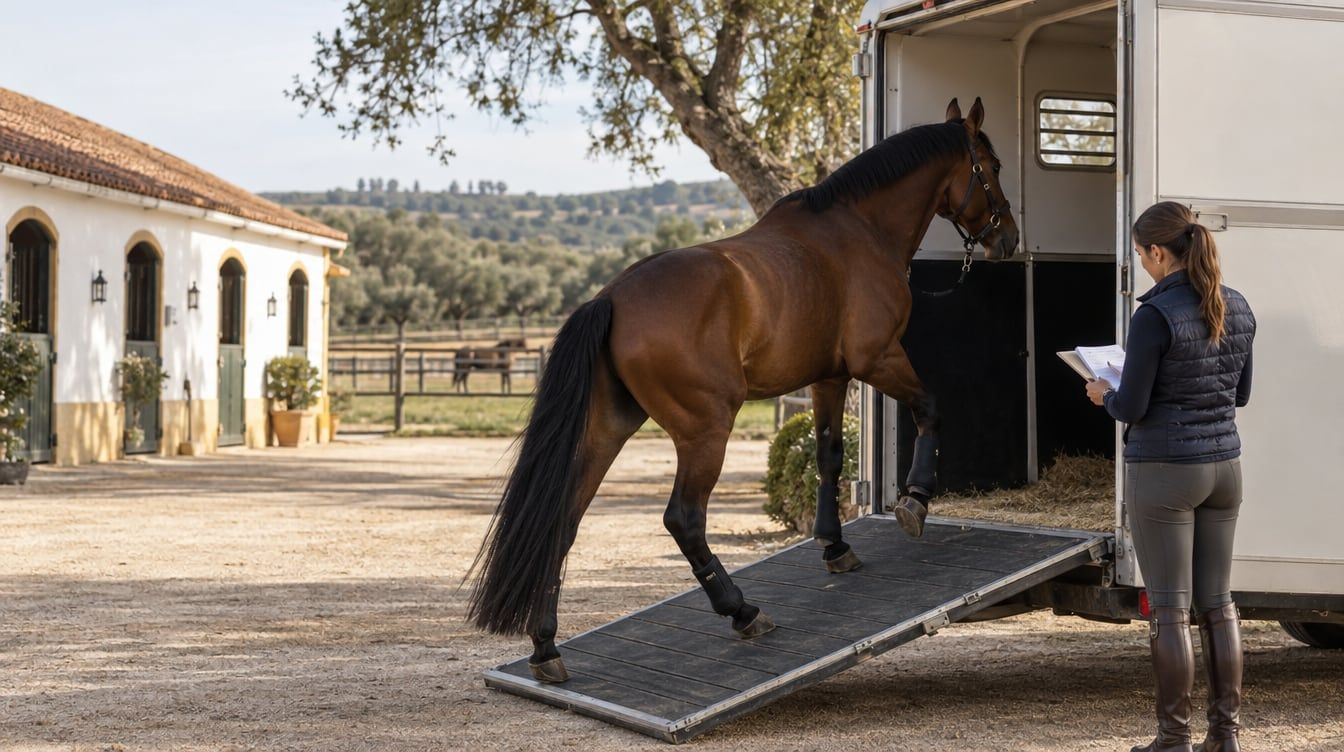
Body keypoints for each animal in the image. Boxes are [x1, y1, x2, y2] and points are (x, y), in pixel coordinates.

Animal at [468, 98, 1018, 683]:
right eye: (992, 166)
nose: (1008, 238)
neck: (858, 232)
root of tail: (611, 299)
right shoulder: (879, 358)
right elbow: (930, 408)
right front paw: (915, 501)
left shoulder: (829, 377)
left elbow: (828, 456)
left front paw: (834, 545)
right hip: (706, 430)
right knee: (684, 519)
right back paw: (742, 611)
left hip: (607, 431)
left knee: (564, 521)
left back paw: (546, 647)